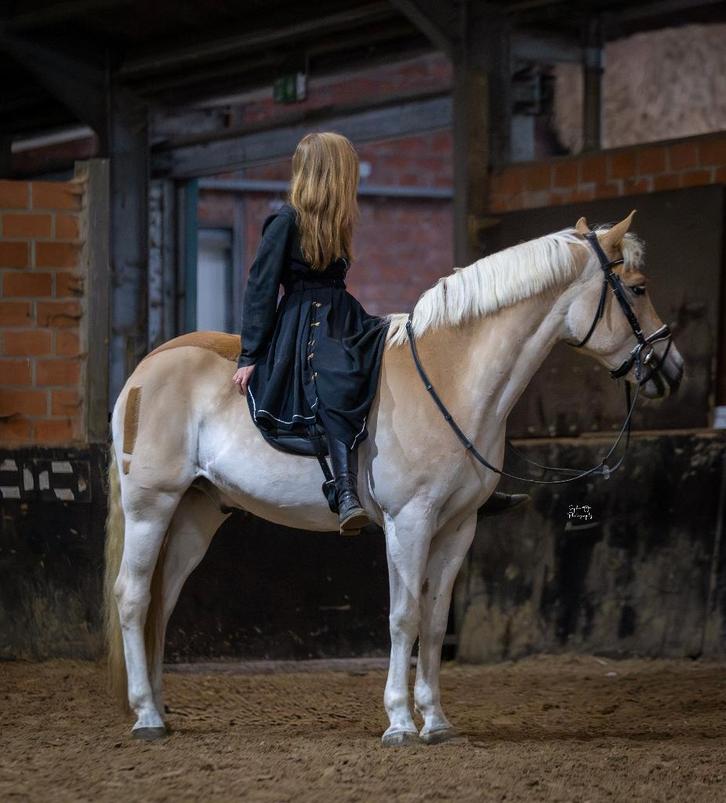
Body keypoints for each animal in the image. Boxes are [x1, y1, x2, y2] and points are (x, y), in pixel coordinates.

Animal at [104, 212, 683, 745]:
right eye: (637, 288)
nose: (671, 369)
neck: (451, 379)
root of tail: (146, 368)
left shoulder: (457, 528)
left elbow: (435, 620)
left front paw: (437, 722)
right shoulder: (410, 523)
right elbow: (403, 617)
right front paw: (401, 723)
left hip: (196, 515)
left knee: (162, 601)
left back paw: (159, 709)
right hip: (151, 506)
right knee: (133, 597)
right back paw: (147, 717)